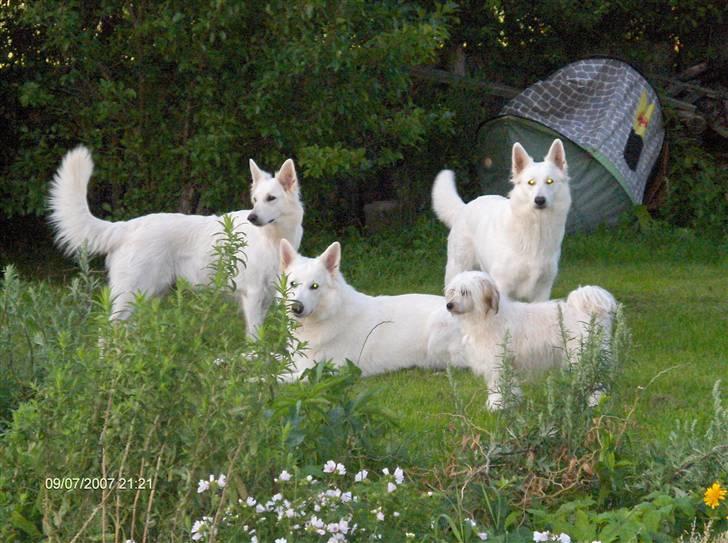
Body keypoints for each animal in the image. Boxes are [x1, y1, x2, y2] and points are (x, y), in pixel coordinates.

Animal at [48, 146, 302, 336]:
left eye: (271, 198)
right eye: (255, 200)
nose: (252, 217)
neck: (272, 238)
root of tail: (128, 226)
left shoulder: (267, 296)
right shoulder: (253, 295)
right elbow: (255, 338)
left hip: (147, 295)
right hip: (130, 295)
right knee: (107, 331)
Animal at [276, 239, 464, 382]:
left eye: (314, 286)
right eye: (293, 284)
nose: (296, 307)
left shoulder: (328, 371)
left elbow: (284, 377)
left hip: (436, 335)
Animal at [430, 139, 572, 302]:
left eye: (549, 181)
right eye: (531, 182)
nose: (540, 200)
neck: (535, 229)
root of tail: (464, 207)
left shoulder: (543, 291)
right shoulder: (503, 287)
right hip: (458, 269)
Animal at [440, 270, 616, 410]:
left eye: (465, 292)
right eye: (452, 291)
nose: (449, 305)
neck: (487, 317)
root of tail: (590, 312)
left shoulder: (498, 361)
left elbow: (497, 385)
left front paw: (496, 405)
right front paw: (509, 402)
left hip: (582, 355)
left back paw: (595, 400)